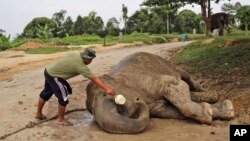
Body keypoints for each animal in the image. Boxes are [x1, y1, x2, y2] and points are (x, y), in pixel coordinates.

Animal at [85, 51, 234, 133]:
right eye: (93, 114)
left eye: (106, 94)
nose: (137, 100)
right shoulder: (153, 104)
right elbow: (168, 110)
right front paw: (225, 109)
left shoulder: (146, 80)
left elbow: (175, 84)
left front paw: (222, 110)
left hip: (169, 64)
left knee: (187, 79)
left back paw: (213, 94)